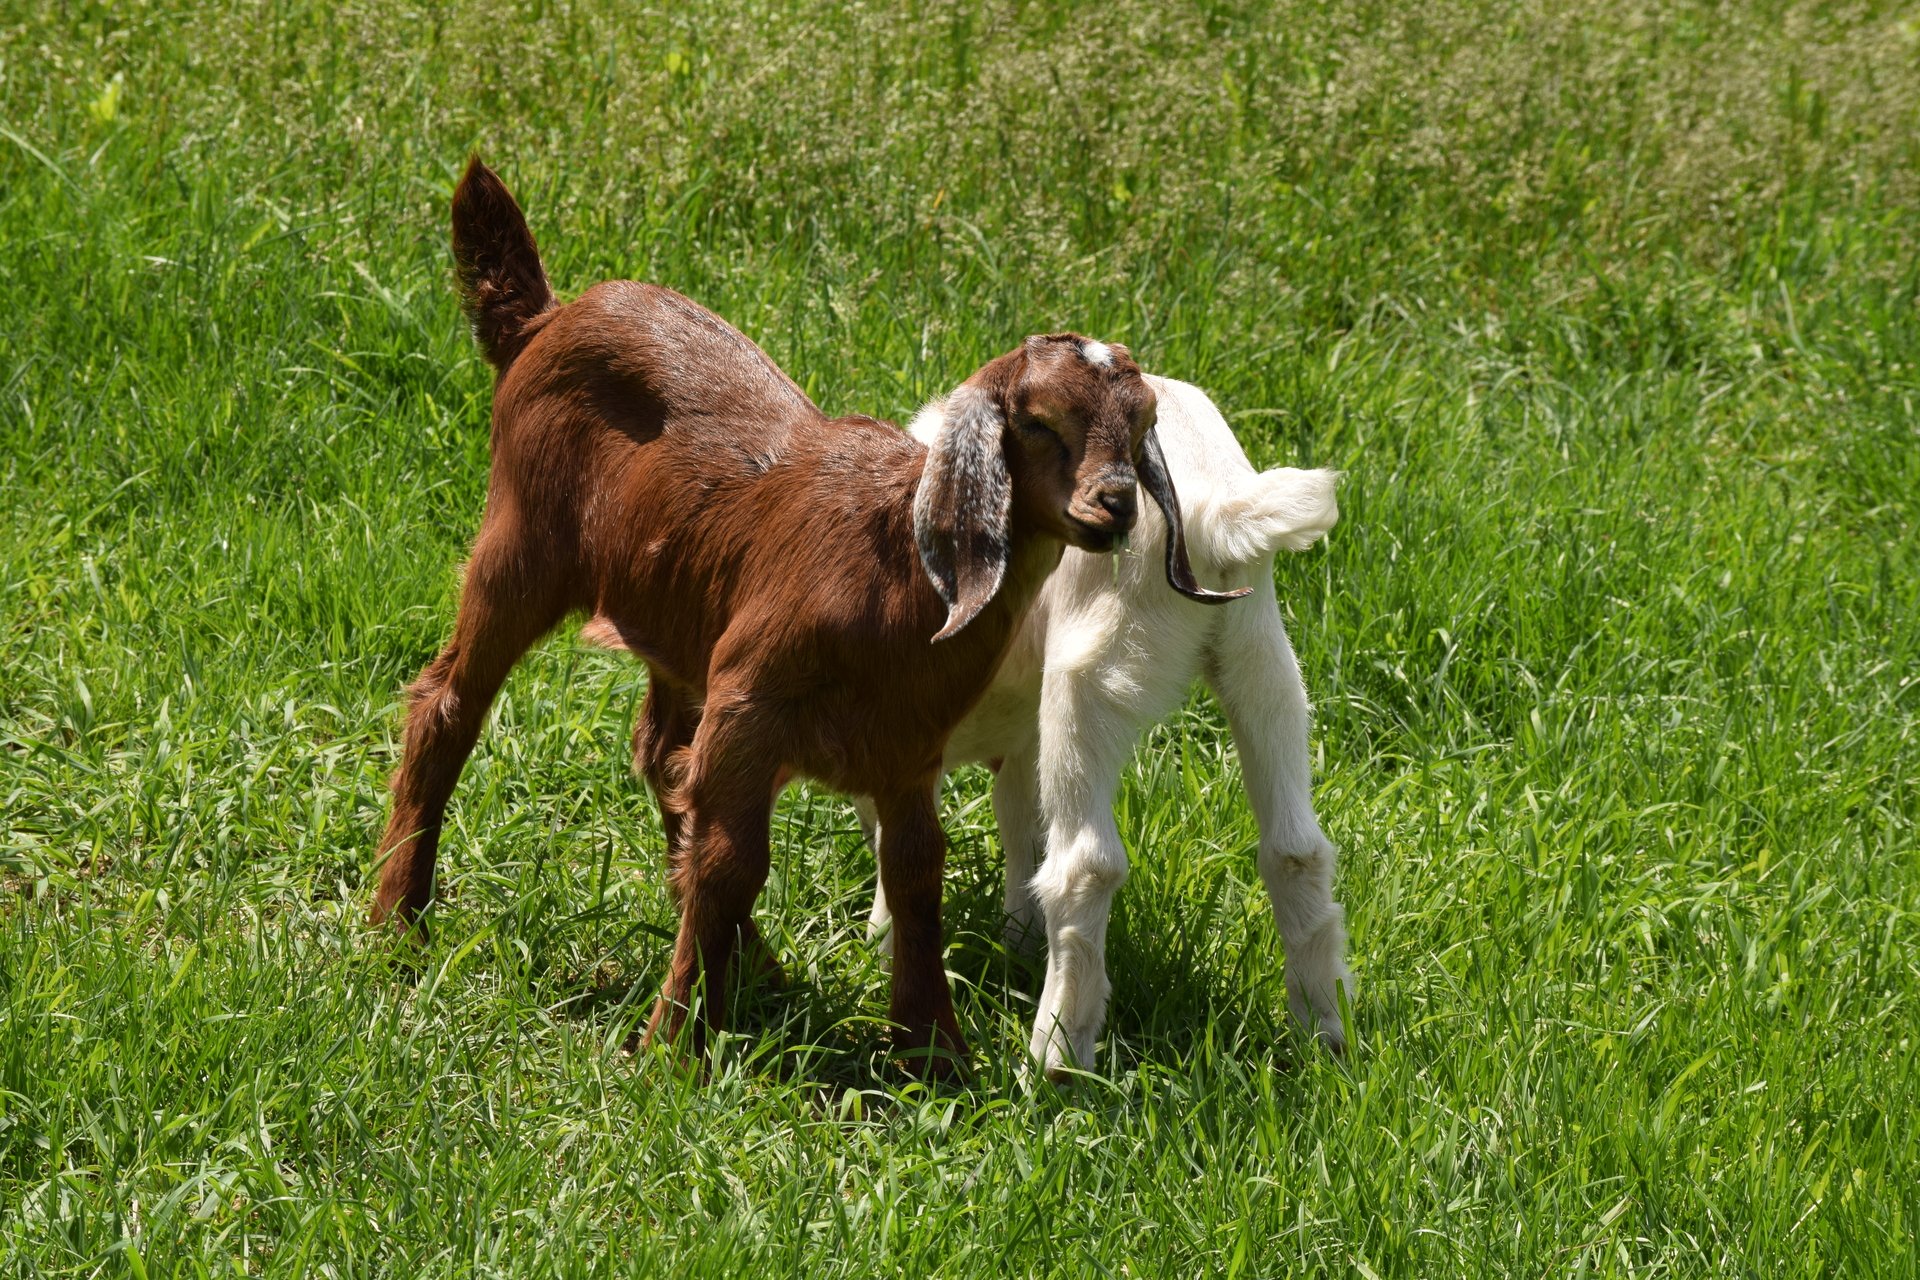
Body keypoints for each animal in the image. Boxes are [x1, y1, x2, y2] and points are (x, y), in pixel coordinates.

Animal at [372, 157, 1244, 1074]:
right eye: (1040, 422)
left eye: (1143, 425)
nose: (1115, 505)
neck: (896, 570)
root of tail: (545, 317)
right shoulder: (750, 708)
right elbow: (731, 863)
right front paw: (672, 1044)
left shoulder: (905, 749)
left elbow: (915, 875)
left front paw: (933, 1055)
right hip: (522, 544)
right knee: (448, 707)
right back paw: (399, 922)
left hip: (680, 623)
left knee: (661, 758)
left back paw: (761, 969)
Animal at [864, 376, 1359, 1074]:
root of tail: (1213, 515)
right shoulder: (1019, 735)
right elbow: (1017, 816)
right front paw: (1017, 937)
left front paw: (882, 945)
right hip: (1262, 660)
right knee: (1296, 847)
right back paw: (1326, 1037)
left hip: (1089, 678)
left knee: (1087, 864)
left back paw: (1054, 1060)